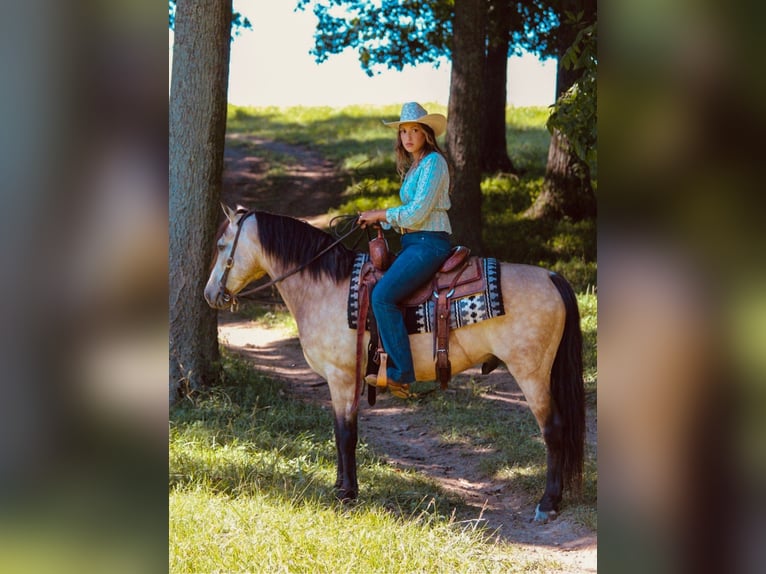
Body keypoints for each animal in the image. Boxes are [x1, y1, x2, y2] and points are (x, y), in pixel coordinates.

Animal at [204, 205, 588, 524]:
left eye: (222, 245)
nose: (209, 295)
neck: (327, 287)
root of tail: (552, 277)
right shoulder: (338, 381)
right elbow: (339, 431)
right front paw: (340, 487)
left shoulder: (342, 377)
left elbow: (347, 434)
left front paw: (347, 494)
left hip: (531, 373)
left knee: (553, 429)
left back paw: (548, 504)